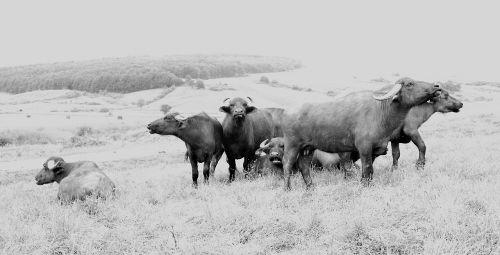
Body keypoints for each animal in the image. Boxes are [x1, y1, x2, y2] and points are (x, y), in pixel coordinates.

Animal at [282, 77, 442, 189]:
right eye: (409, 83)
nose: (436, 86)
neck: (380, 112)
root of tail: (287, 112)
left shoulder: (377, 147)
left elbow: (370, 169)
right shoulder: (364, 147)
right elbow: (367, 168)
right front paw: (365, 184)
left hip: (308, 148)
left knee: (303, 166)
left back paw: (311, 187)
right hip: (292, 145)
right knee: (287, 164)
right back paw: (288, 188)